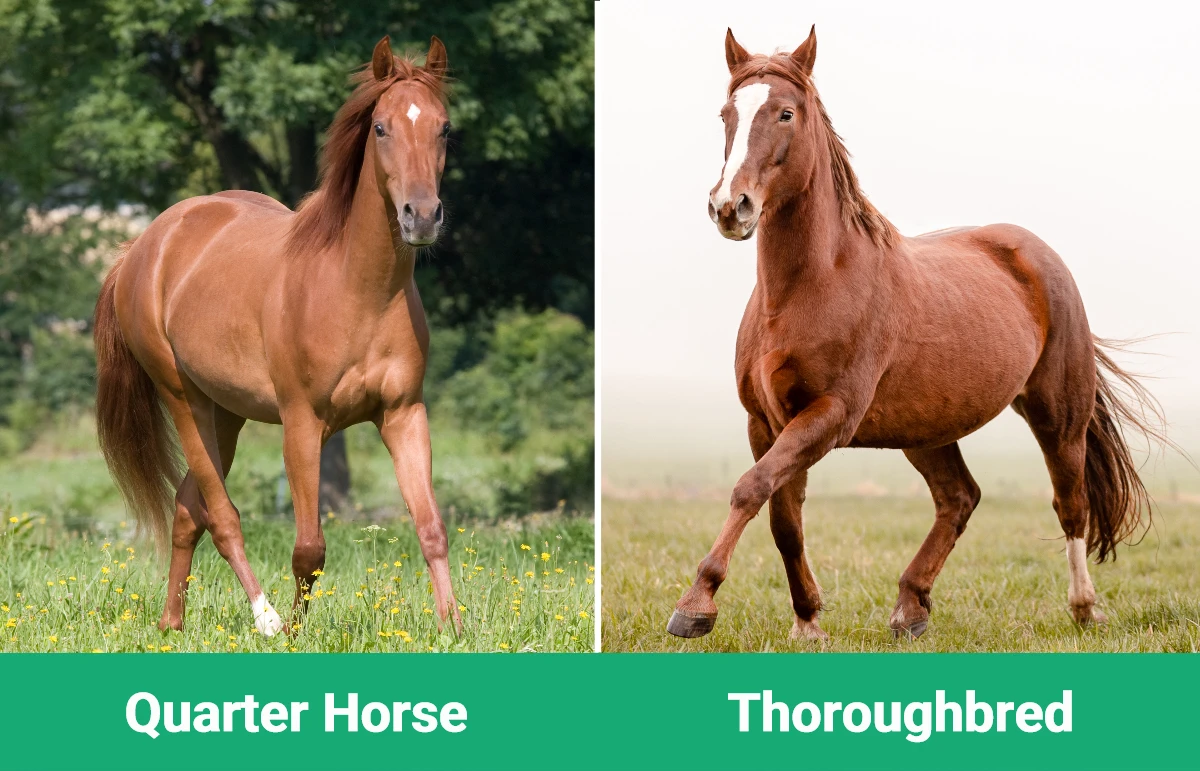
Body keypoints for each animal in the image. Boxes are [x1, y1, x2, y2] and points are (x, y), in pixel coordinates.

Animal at [93, 36, 461, 637]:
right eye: (381, 127)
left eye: (443, 127)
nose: (422, 216)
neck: (356, 290)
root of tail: (143, 246)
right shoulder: (302, 424)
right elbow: (309, 547)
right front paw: (295, 631)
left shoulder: (404, 413)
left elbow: (431, 527)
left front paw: (453, 628)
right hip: (183, 400)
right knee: (221, 516)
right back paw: (263, 617)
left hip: (225, 414)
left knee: (186, 512)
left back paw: (172, 624)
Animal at [668, 26, 1168, 642]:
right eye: (726, 114)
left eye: (785, 113)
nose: (729, 207)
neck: (810, 286)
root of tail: (1038, 255)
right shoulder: (765, 421)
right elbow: (782, 518)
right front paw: (807, 621)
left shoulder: (829, 415)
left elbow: (749, 489)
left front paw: (696, 604)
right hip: (926, 430)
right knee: (959, 498)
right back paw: (910, 606)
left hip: (1058, 416)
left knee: (1069, 504)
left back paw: (1084, 608)